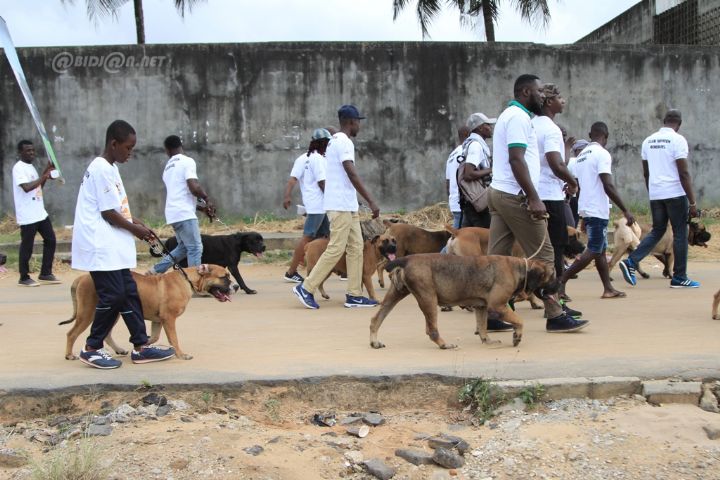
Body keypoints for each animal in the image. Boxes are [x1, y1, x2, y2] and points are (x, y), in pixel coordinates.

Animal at [60, 264, 233, 362]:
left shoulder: (159, 320)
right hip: (88, 312)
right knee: (71, 333)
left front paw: (145, 344)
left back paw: (119, 349)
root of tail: (82, 277)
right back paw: (69, 355)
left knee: (106, 333)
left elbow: (155, 336)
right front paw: (181, 355)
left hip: (113, 312)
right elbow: (174, 339)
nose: (236, 286)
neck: (188, 280)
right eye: (223, 277)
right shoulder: (169, 319)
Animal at [368, 255, 560, 348]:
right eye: (552, 277)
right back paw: (444, 344)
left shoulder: (481, 307)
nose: (559, 287)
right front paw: (517, 336)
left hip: (395, 295)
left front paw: (487, 340)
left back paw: (374, 342)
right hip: (428, 299)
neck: (520, 268)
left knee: (376, 319)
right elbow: (519, 321)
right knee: (432, 330)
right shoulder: (497, 306)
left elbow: (482, 327)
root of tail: (406, 259)